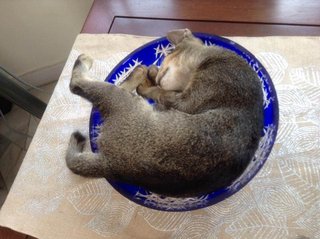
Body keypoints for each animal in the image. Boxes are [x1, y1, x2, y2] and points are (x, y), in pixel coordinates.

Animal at [66, 29, 264, 197]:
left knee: (79, 85)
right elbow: (160, 89)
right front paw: (152, 74)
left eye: (168, 55)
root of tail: (111, 165)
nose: (159, 68)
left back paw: (131, 71)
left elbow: (158, 92)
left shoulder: (185, 101)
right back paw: (140, 72)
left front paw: (149, 80)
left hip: (120, 99)